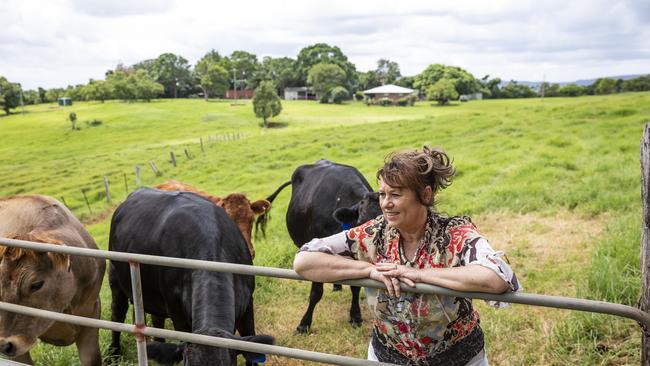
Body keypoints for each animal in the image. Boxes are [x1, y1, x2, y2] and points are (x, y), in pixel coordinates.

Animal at [107, 189, 272, 366]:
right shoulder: (177, 314)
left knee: (156, 319)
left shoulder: (248, 305)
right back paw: (113, 354)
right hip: (115, 279)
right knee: (117, 314)